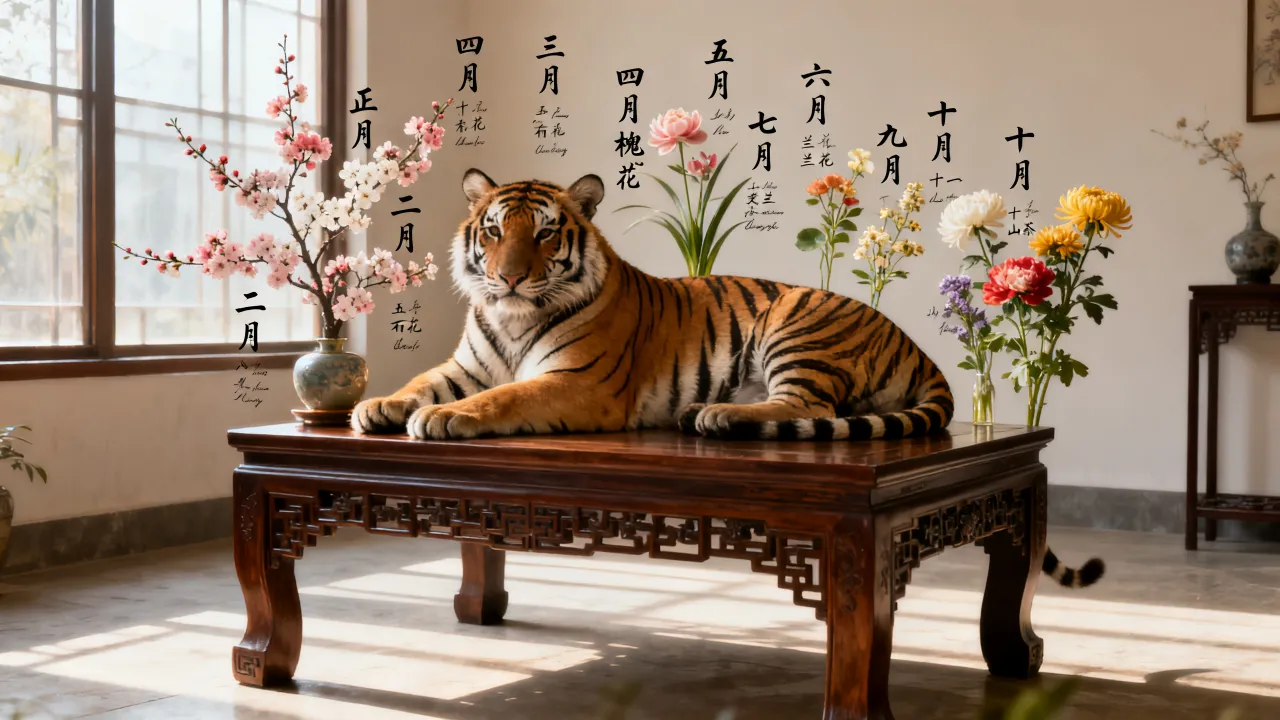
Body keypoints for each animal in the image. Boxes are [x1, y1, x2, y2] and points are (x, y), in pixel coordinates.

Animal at [352, 169, 1104, 589]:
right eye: (493, 230)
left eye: (542, 234)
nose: (507, 276)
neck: (510, 316)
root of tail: (920, 350)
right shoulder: (464, 364)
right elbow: (422, 381)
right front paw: (378, 406)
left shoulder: (577, 381)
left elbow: (503, 395)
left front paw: (446, 419)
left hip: (795, 326)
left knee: (805, 408)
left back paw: (714, 416)